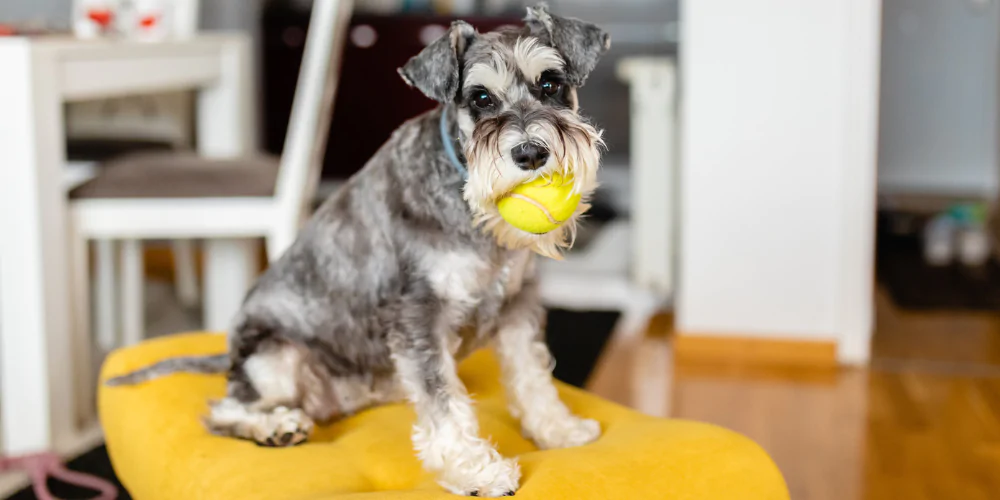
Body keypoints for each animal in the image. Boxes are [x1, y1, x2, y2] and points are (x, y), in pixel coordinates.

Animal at [109, 4, 608, 496]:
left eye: (550, 84)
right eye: (481, 98)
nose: (530, 153)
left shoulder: (517, 305)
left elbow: (532, 375)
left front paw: (559, 429)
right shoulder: (418, 316)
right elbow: (443, 401)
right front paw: (476, 472)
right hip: (275, 359)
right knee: (224, 409)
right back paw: (276, 427)